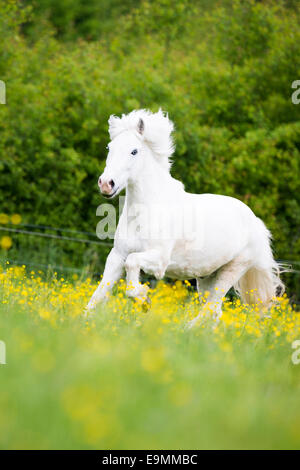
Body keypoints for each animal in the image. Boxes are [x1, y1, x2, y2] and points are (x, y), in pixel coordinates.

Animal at [86, 109, 284, 326]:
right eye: (109, 147)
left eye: (134, 151)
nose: (106, 184)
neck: (145, 212)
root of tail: (256, 221)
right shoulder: (116, 256)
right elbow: (97, 296)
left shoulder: (159, 259)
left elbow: (132, 265)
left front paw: (144, 299)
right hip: (207, 276)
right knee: (215, 312)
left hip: (232, 271)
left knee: (210, 309)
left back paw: (183, 330)